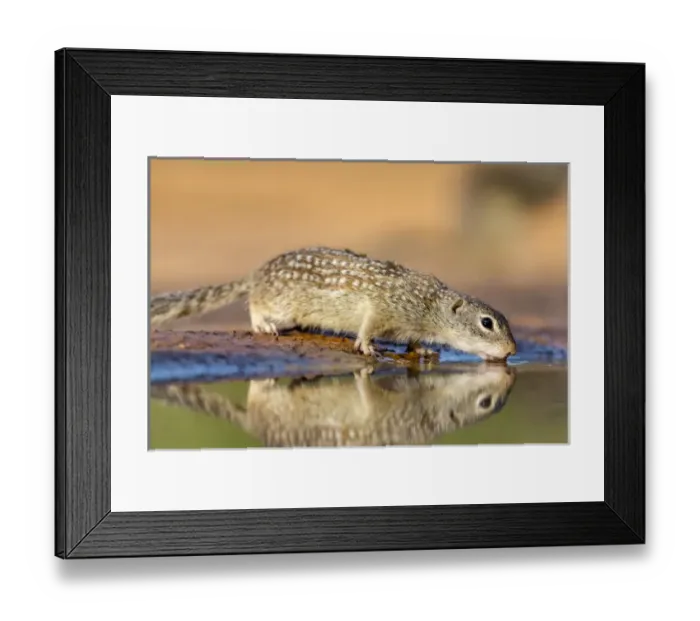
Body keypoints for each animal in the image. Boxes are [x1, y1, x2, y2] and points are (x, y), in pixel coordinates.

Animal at [150, 246, 517, 362]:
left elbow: (413, 341)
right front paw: (367, 346)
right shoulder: (384, 307)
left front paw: (423, 350)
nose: (513, 350)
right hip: (278, 302)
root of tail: (258, 273)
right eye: (487, 323)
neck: (430, 305)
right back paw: (263, 324)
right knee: (254, 304)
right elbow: (369, 325)